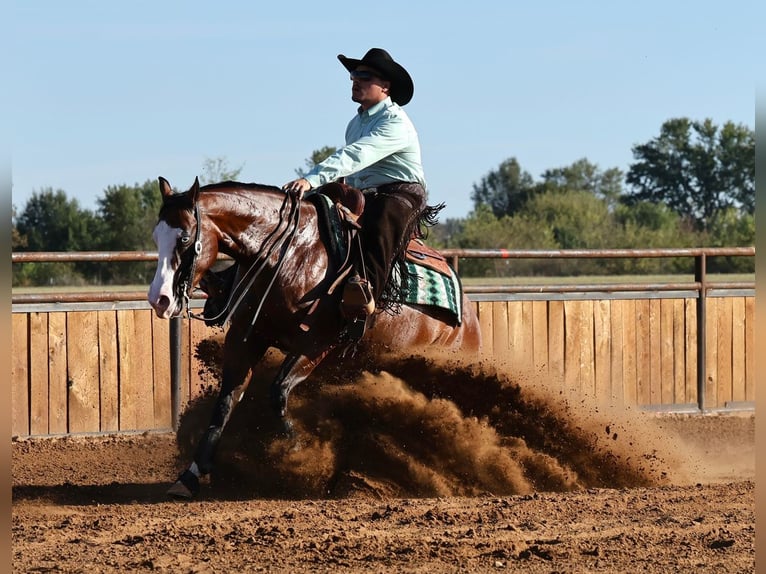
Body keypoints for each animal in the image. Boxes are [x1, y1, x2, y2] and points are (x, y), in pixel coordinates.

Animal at [147, 176, 481, 498]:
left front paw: (301, 454)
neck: (291, 254)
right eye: (156, 237)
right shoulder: (246, 338)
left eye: (185, 238)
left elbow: (278, 392)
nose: (159, 300)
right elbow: (226, 402)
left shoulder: (316, 344)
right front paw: (191, 475)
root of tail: (468, 315)